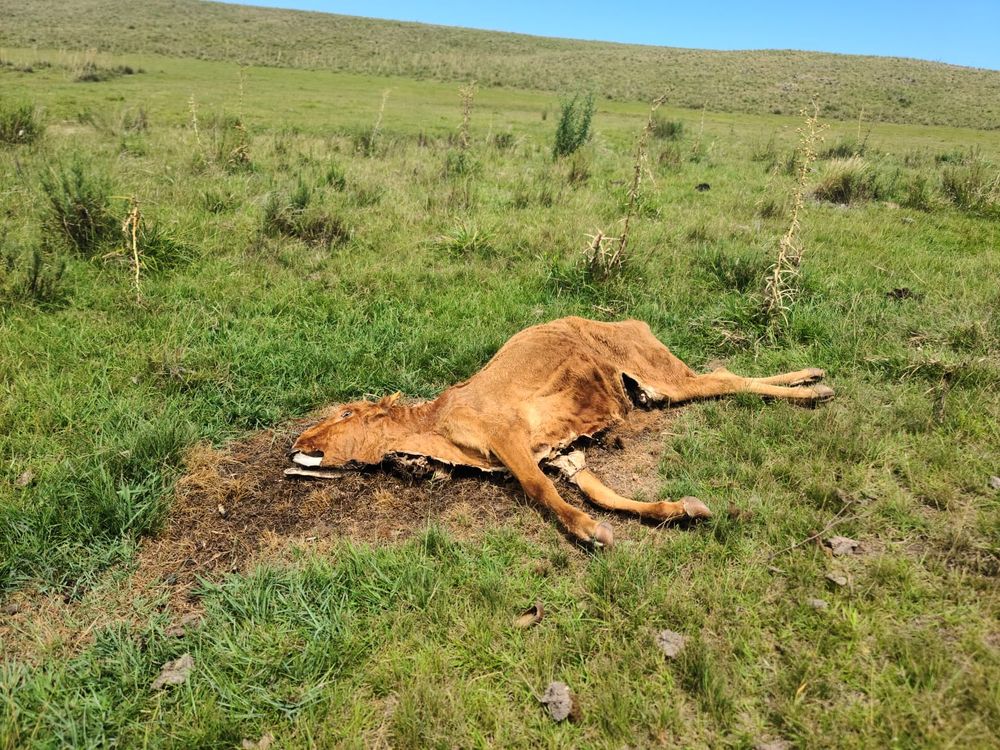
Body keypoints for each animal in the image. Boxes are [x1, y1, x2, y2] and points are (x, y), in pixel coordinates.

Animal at [287, 316, 833, 548]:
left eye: (344, 414)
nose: (297, 442)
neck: (435, 425)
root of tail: (634, 320)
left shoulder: (508, 438)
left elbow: (539, 490)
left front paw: (589, 532)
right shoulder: (560, 453)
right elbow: (603, 493)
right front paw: (680, 510)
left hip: (660, 374)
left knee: (722, 379)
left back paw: (815, 389)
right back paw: (813, 374)